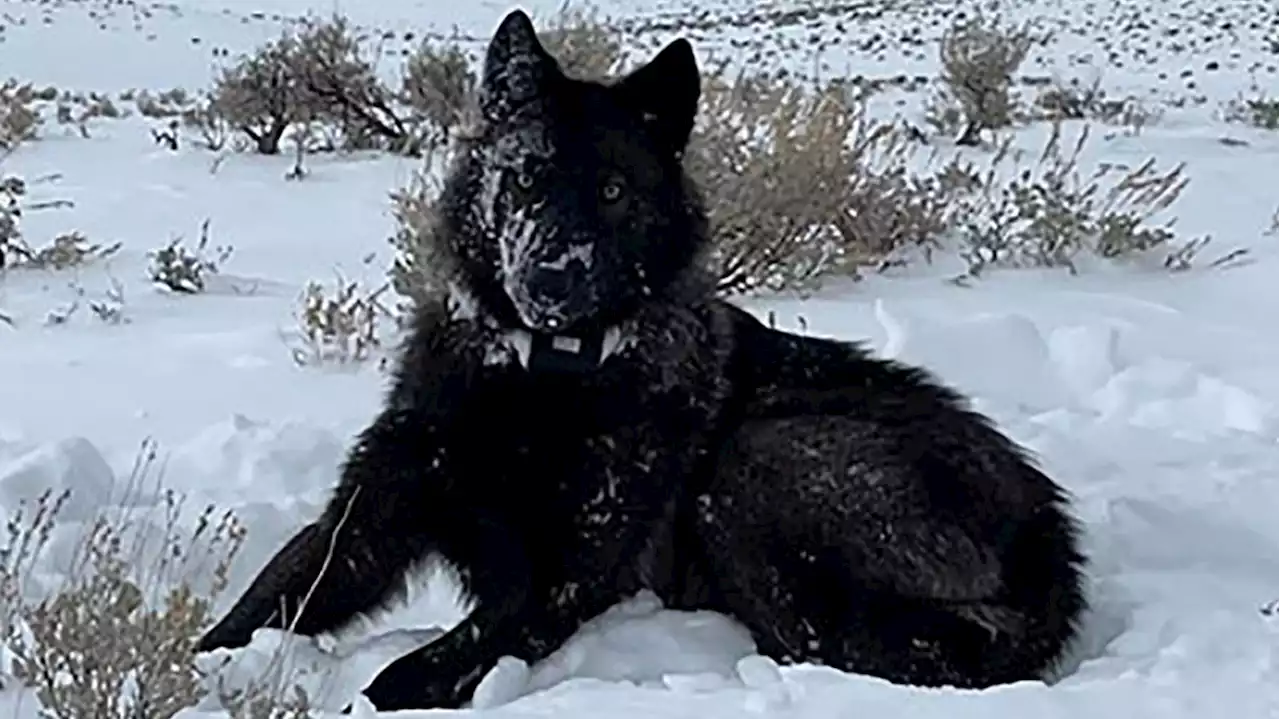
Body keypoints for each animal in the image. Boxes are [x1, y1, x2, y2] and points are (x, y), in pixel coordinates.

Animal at [199, 8, 1090, 706]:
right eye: (525, 177)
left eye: (614, 190)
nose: (552, 275)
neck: (540, 379)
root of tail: (1050, 541)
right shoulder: (368, 518)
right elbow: (255, 607)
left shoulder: (561, 582)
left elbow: (419, 669)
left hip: (757, 461)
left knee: (824, 640)